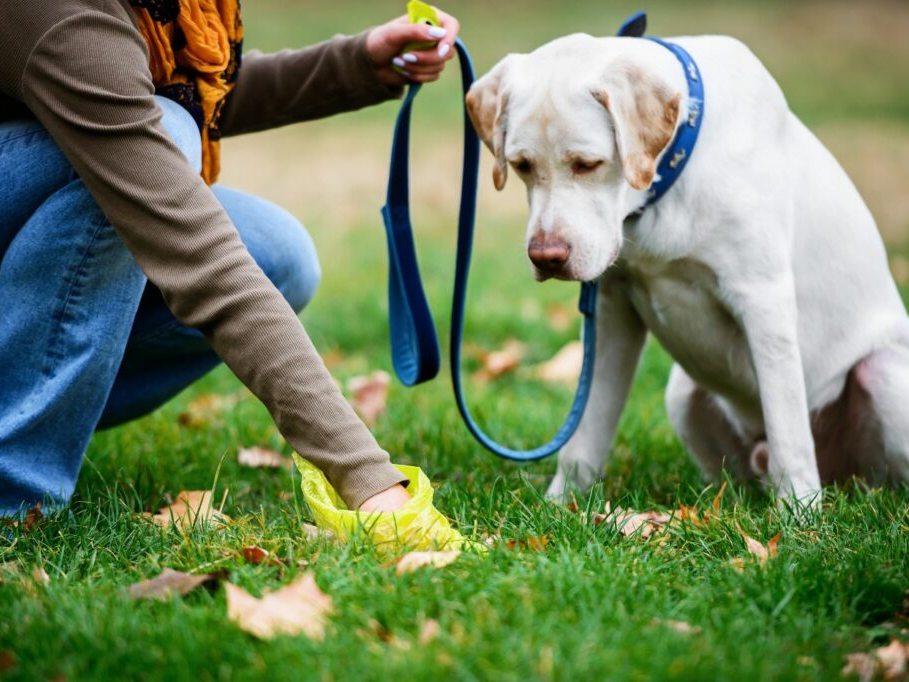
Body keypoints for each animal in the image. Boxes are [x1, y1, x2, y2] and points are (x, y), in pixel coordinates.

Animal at [464, 31, 908, 502]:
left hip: (883, 374)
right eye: (522, 166)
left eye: (587, 164)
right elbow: (585, 433)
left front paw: (800, 512)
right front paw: (562, 504)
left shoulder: (763, 301)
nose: (546, 257)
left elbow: (789, 434)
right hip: (680, 393)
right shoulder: (611, 310)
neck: (666, 185)